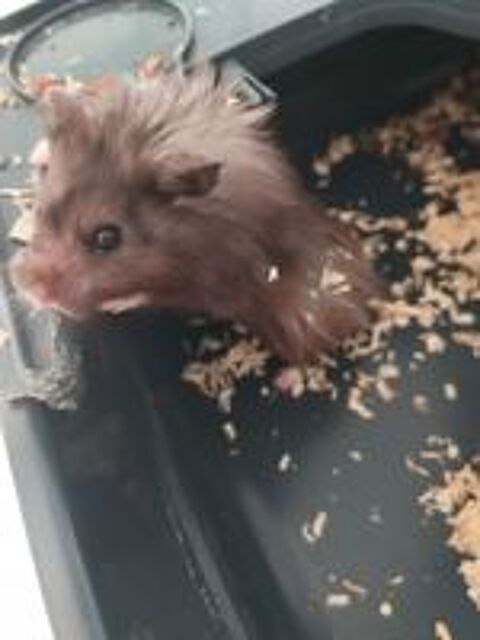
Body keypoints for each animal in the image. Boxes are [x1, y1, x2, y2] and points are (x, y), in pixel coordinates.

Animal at [10, 65, 380, 363]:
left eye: (107, 238)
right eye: (42, 210)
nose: (34, 293)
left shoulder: (210, 278)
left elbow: (151, 293)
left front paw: (117, 304)